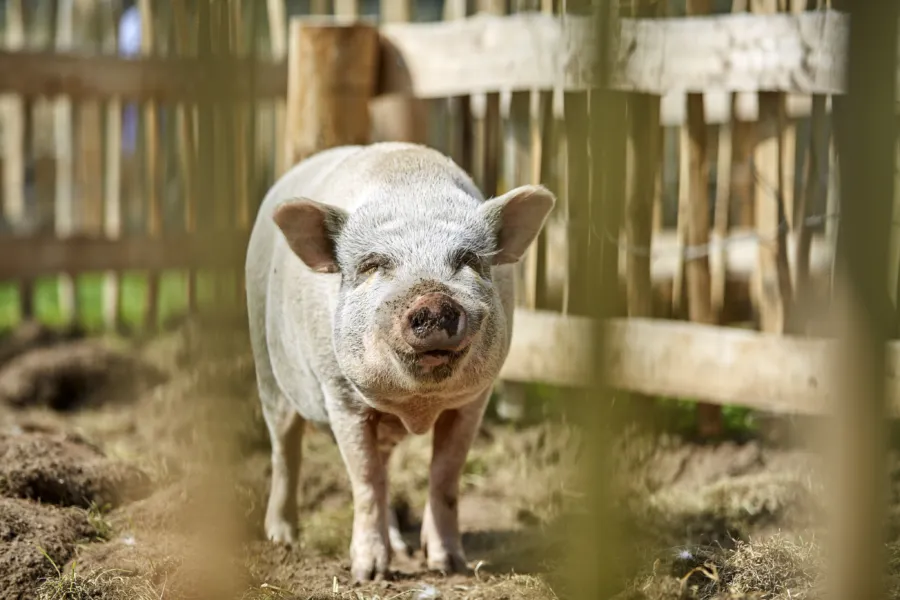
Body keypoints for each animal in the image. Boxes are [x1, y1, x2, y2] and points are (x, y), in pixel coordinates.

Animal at [246, 141, 556, 580]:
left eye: (469, 260)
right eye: (373, 265)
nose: (434, 301)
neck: (417, 407)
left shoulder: (474, 401)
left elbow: (444, 475)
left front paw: (449, 566)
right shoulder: (340, 397)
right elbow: (364, 479)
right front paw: (369, 574)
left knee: (385, 465)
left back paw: (401, 549)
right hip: (267, 366)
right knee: (285, 449)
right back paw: (283, 538)